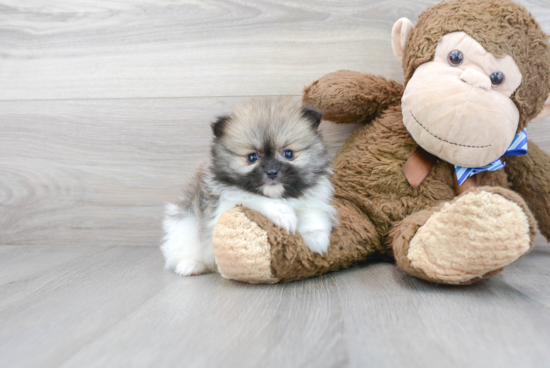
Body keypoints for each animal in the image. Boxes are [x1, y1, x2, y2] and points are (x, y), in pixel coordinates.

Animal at [162, 98, 338, 276]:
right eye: (252, 157)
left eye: (288, 154)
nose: (272, 172)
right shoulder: (229, 201)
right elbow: (257, 199)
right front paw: (285, 215)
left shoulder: (313, 199)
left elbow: (311, 214)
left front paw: (318, 241)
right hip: (185, 226)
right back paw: (190, 265)